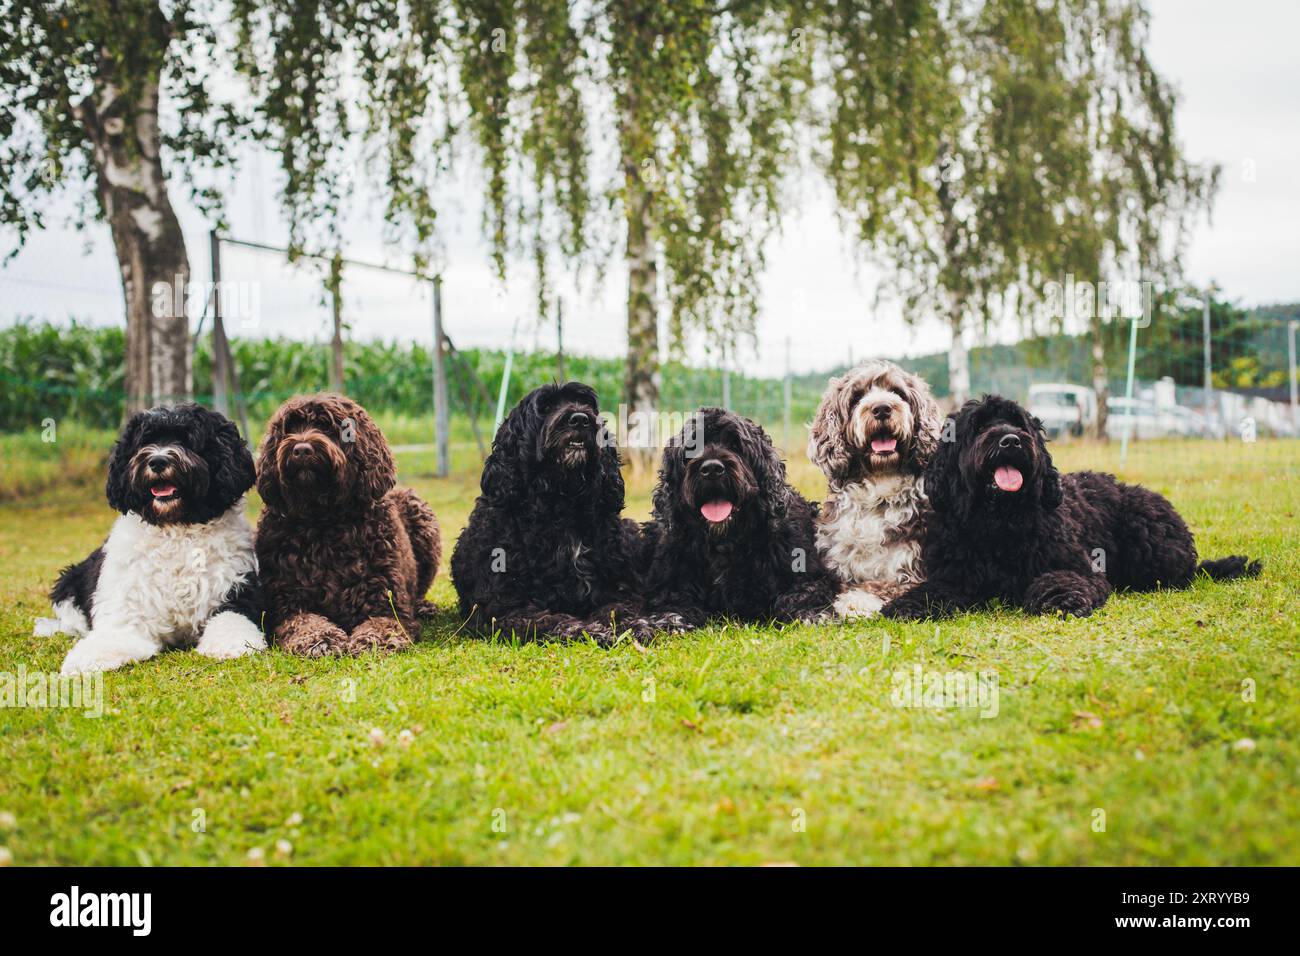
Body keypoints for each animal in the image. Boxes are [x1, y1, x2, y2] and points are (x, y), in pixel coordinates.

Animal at [35, 403, 265, 671]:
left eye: (188, 440)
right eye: (145, 441)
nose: (158, 460)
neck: (177, 529)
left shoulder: (236, 591)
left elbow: (231, 621)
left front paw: (231, 644)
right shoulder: (127, 609)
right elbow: (113, 636)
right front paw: (87, 658)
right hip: (69, 584)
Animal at [253, 392, 441, 655]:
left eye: (329, 427)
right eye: (289, 428)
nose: (301, 449)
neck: (324, 522)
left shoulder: (387, 605)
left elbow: (382, 624)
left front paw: (373, 640)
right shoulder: (287, 605)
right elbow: (304, 623)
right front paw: (320, 639)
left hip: (420, 512)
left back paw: (424, 606)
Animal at [449, 385, 670, 647]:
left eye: (587, 405)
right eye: (545, 407)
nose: (580, 419)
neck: (561, 505)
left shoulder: (618, 590)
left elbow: (618, 608)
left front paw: (635, 626)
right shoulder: (503, 609)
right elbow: (548, 621)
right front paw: (589, 631)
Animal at [637, 405, 832, 624]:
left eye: (735, 445)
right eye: (692, 448)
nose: (712, 469)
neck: (724, 541)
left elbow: (801, 594)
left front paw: (812, 614)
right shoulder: (671, 586)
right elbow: (672, 605)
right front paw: (662, 621)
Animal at [883, 395, 1258, 621]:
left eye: (1019, 423)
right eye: (978, 426)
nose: (1010, 441)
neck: (1000, 525)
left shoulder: (1079, 567)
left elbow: (1063, 579)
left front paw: (1060, 598)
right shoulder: (954, 577)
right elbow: (933, 591)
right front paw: (906, 605)